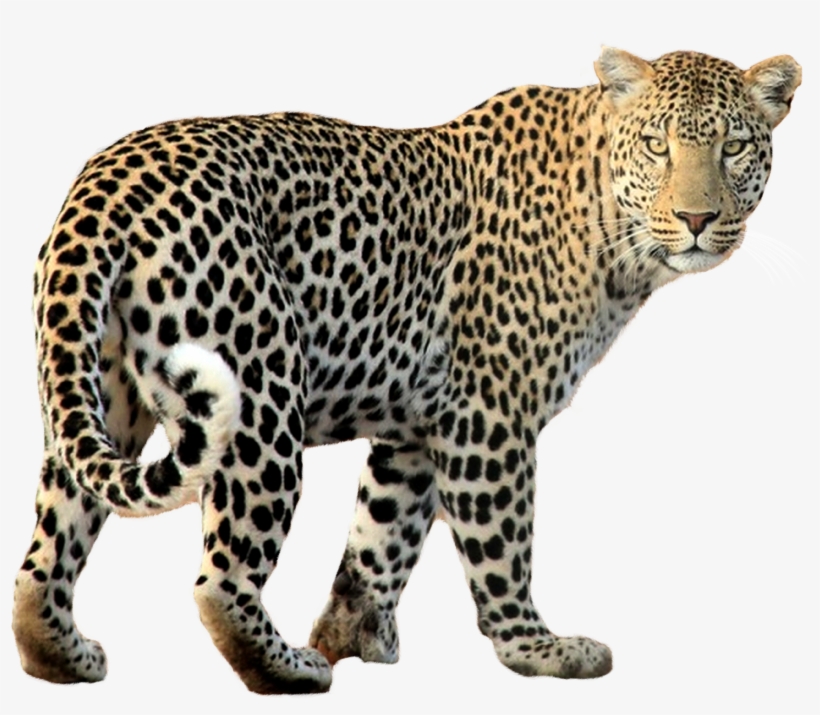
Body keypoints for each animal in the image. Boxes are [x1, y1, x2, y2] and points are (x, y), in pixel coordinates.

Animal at [12, 47, 801, 693]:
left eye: (733, 147)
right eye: (658, 146)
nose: (697, 219)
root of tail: (105, 183)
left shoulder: (419, 424)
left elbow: (381, 534)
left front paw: (355, 635)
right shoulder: (490, 414)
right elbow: (502, 543)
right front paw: (537, 650)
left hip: (98, 391)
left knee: (46, 550)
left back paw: (64, 656)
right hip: (260, 397)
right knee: (221, 578)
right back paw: (289, 669)